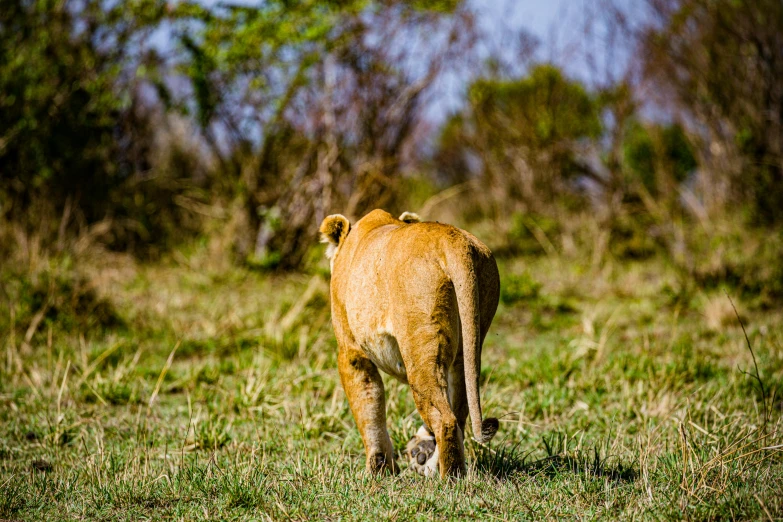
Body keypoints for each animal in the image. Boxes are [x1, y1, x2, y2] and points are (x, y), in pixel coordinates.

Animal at [320, 207, 500, 476]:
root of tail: (453, 239)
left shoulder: (351, 351)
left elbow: (369, 406)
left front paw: (378, 468)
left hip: (420, 348)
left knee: (445, 419)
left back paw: (450, 477)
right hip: (466, 347)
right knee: (459, 411)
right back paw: (432, 464)